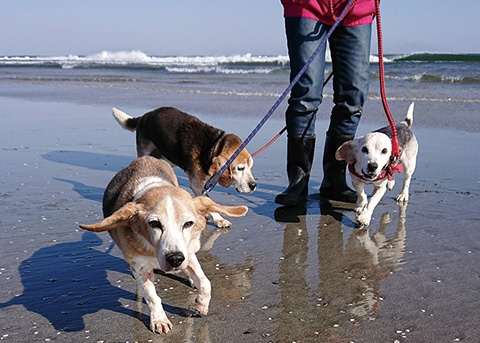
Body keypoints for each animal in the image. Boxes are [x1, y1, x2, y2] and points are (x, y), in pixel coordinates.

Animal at [79, 157, 248, 334]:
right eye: (154, 224)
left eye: (188, 223)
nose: (175, 259)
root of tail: (145, 158)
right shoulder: (141, 268)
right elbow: (152, 297)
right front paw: (159, 319)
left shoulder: (188, 253)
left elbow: (205, 282)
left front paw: (202, 304)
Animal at [112, 107, 256, 228]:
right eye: (240, 168)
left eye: (250, 167)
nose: (253, 185)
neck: (212, 146)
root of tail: (145, 116)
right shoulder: (197, 184)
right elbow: (208, 200)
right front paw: (219, 219)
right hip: (145, 151)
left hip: (166, 158)